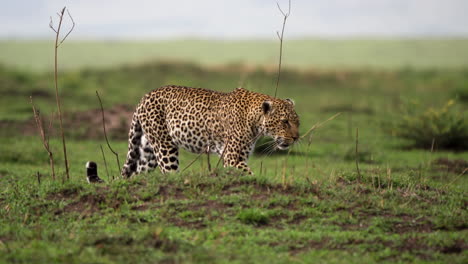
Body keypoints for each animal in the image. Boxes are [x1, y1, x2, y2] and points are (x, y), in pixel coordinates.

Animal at [120, 85, 300, 177]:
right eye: (284, 122)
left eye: (297, 122)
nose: (296, 137)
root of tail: (144, 97)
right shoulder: (233, 159)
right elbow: (250, 175)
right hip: (164, 147)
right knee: (168, 172)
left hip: (147, 151)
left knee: (137, 173)